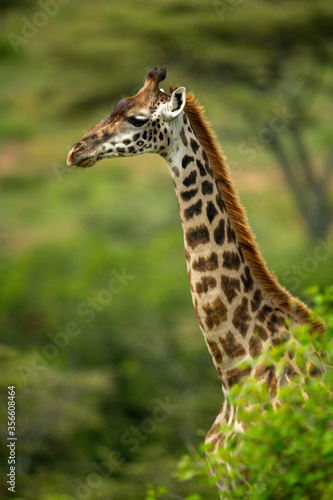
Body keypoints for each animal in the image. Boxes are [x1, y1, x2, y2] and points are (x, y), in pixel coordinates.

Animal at [66, 67, 322, 496]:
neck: (236, 369)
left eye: (137, 118)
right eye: (114, 107)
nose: (76, 151)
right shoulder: (229, 483)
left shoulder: (280, 476)